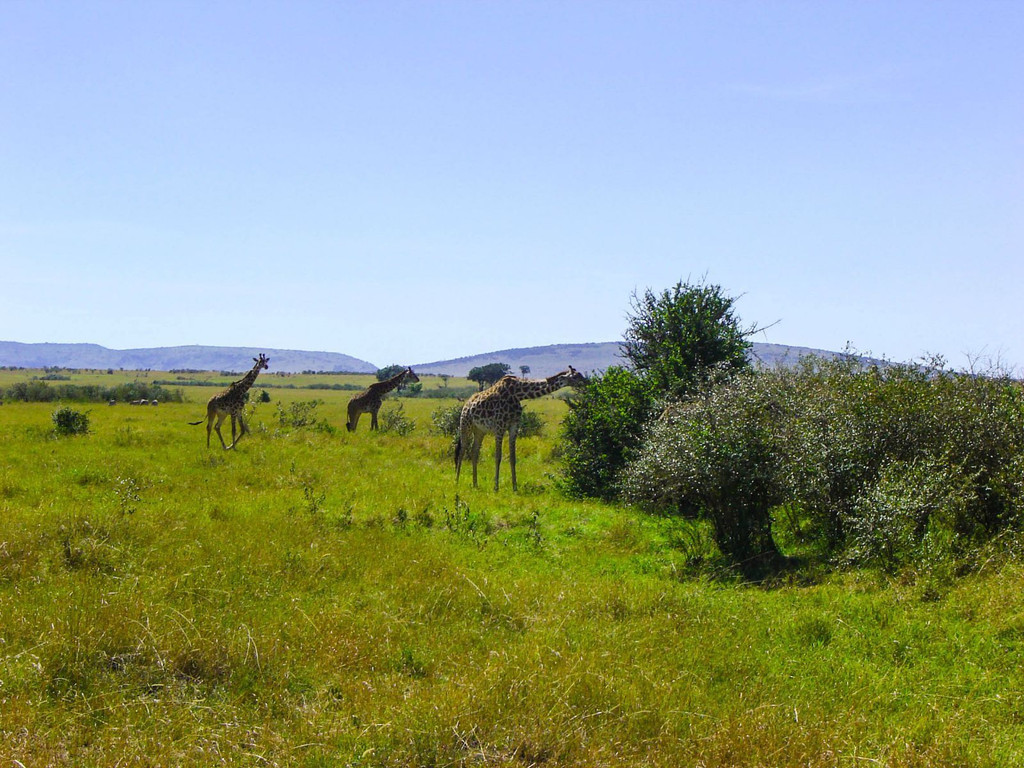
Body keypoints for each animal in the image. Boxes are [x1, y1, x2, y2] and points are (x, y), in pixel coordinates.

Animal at [454, 366, 589, 493]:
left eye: (580, 375)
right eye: (576, 376)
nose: (587, 383)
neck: (518, 394)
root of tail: (466, 404)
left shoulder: (514, 426)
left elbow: (513, 457)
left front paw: (515, 487)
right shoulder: (500, 426)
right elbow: (498, 457)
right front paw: (496, 487)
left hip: (479, 430)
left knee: (474, 451)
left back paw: (475, 484)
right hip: (465, 424)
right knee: (462, 450)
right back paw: (457, 480)